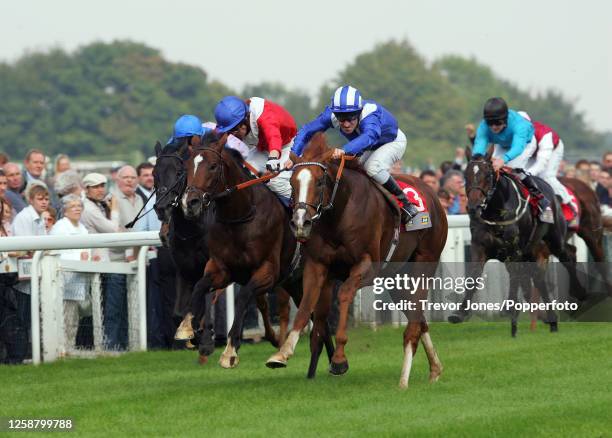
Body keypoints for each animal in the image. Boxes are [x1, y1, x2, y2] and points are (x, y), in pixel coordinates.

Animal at [266, 132, 448, 388]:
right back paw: (434, 369)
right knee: (418, 318)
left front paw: (339, 360)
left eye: (319, 182)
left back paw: (403, 380)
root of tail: (432, 193)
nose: (301, 223)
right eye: (292, 183)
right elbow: (307, 304)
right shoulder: (317, 264)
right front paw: (283, 352)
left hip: (424, 263)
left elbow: (344, 294)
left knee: (414, 322)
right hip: (396, 277)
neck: (340, 213)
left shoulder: (367, 265)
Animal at [450, 145, 588, 336]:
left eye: (488, 175)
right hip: (532, 250)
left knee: (568, 256)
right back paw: (551, 318)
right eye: (466, 176)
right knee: (538, 277)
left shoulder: (513, 249)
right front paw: (460, 312)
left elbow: (516, 275)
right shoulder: (480, 247)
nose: (473, 207)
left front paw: (510, 308)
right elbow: (474, 275)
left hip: (554, 239)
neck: (495, 211)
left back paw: (578, 294)